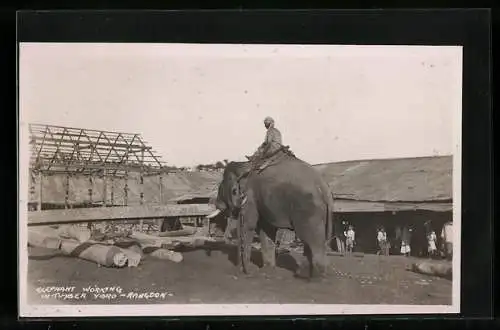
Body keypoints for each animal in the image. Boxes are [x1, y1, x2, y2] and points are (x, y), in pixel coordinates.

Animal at [209, 151, 334, 280]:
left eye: (226, 184)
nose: (247, 272)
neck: (245, 165)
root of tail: (325, 188)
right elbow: (266, 229)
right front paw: (267, 271)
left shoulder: (249, 197)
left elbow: (249, 225)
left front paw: (243, 271)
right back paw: (303, 275)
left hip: (308, 210)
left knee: (312, 241)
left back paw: (316, 278)